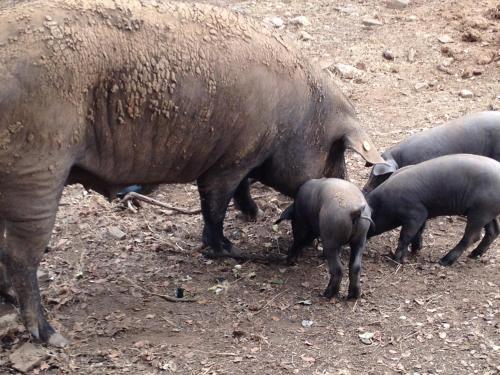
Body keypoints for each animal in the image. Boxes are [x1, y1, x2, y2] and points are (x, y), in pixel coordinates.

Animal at [0, 0, 382, 346]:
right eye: (336, 152)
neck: (299, 114)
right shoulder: (232, 158)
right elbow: (214, 205)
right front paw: (227, 248)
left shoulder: (243, 155)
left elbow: (237, 191)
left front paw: (252, 215)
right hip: (36, 169)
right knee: (19, 255)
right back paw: (52, 337)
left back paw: (11, 304)